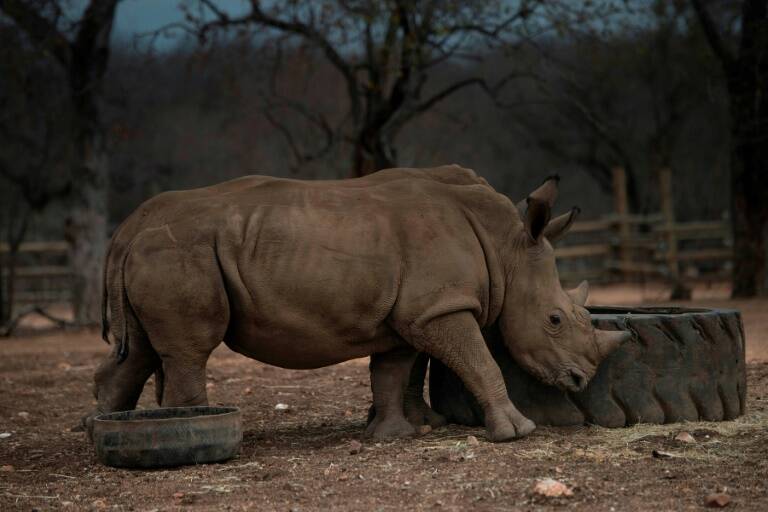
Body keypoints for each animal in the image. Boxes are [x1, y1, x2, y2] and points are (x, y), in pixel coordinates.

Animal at [92, 165, 630, 441]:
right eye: (555, 319)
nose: (581, 379)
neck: (507, 251)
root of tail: (125, 230)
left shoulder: (415, 312)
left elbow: (394, 372)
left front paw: (397, 433)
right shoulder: (440, 307)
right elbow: (480, 362)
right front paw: (518, 431)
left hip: (159, 253)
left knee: (140, 351)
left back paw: (102, 428)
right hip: (182, 253)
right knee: (187, 350)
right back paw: (201, 433)